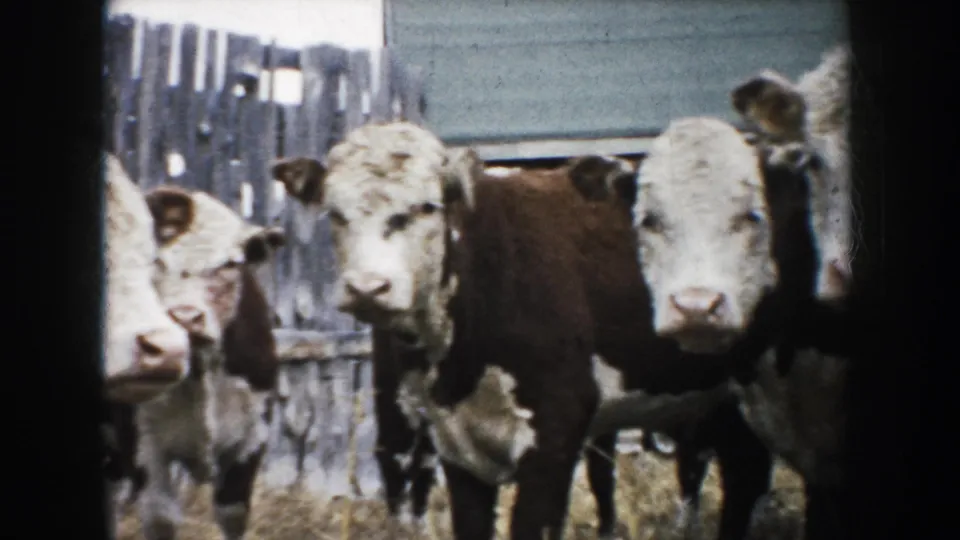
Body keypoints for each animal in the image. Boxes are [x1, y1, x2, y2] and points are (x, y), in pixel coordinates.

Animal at [107, 185, 286, 540]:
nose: (186, 318)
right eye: (156, 261)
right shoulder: (145, 449)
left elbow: (233, 513)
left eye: (229, 264)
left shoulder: (252, 438)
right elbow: (161, 517)